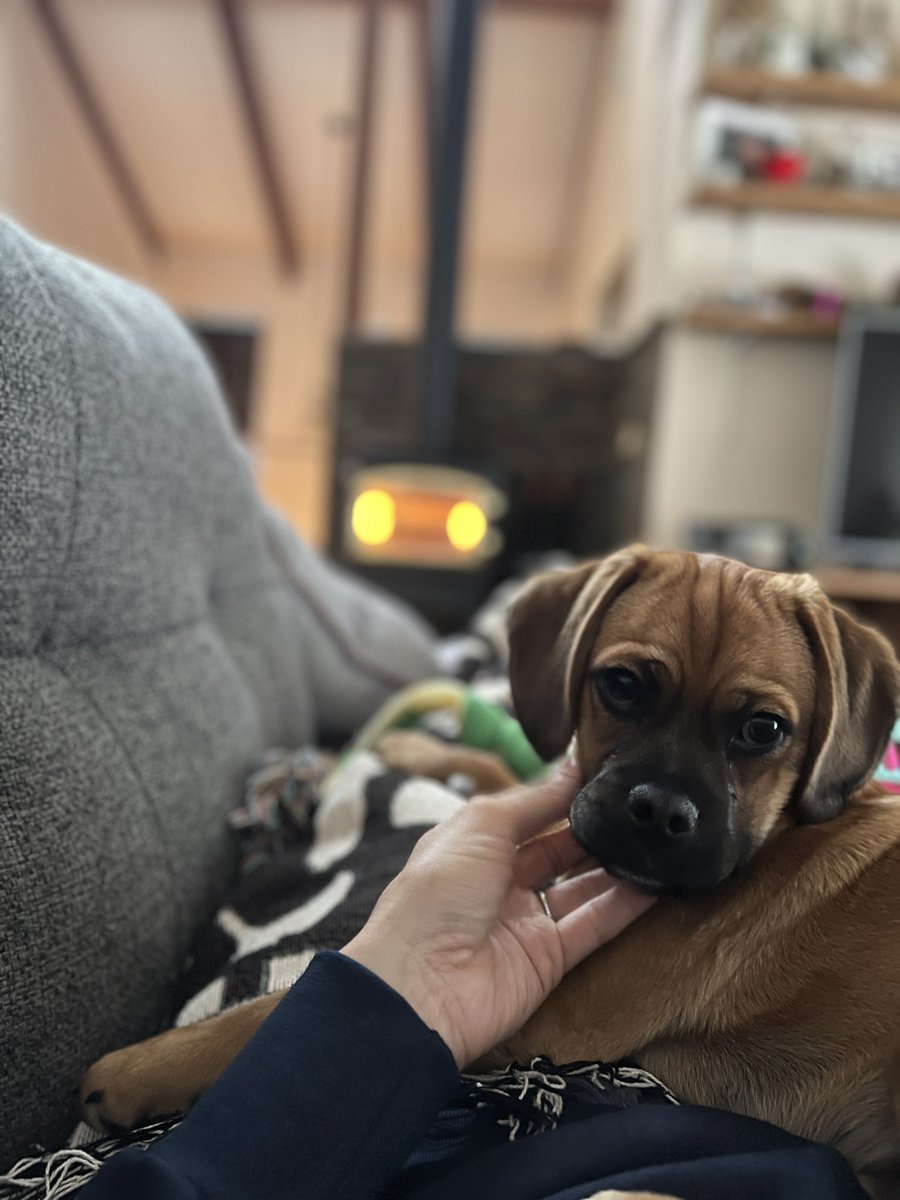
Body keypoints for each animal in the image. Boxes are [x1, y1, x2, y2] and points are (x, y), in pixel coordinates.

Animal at [75, 549, 900, 1190]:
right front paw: (423, 751)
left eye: (763, 730)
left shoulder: (558, 1010)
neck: (778, 832)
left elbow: (261, 1011)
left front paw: (141, 1068)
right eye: (622, 685)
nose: (661, 812)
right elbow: (515, 776)